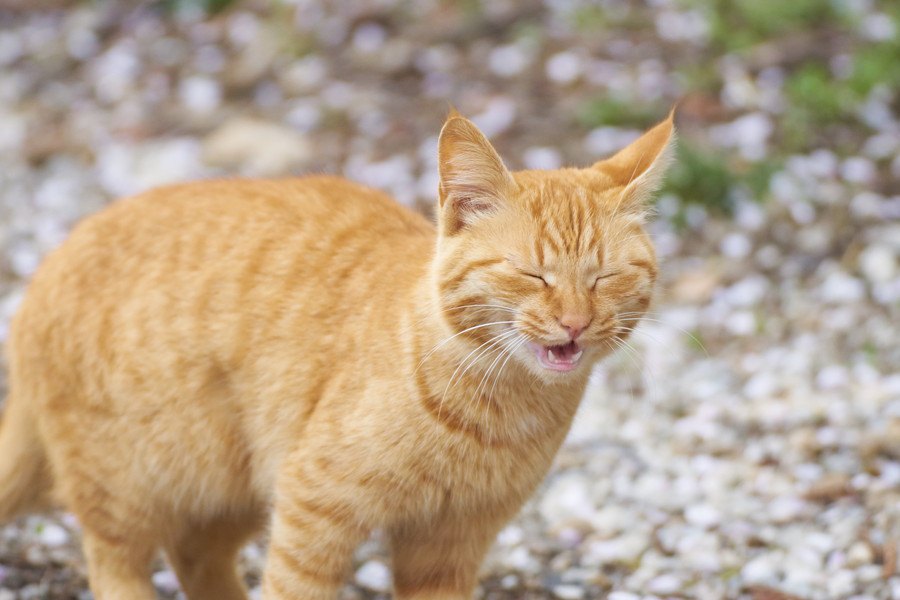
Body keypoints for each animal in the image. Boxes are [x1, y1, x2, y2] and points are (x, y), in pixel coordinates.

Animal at [0, 110, 676, 596]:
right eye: (531, 274)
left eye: (605, 277)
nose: (574, 322)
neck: (504, 411)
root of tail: (46, 268)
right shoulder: (312, 510)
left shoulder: (451, 543)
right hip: (133, 483)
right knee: (116, 561)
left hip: (235, 481)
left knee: (196, 556)